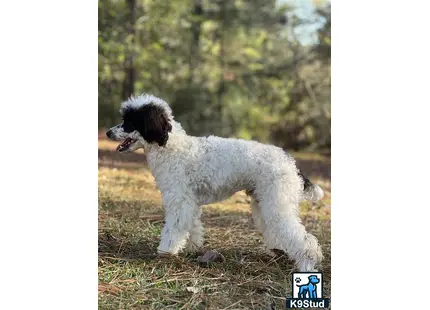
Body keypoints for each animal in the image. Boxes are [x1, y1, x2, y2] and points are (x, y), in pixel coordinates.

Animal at [106, 93, 324, 270]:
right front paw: (191, 247)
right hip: (264, 203)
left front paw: (166, 251)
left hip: (277, 204)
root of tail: (290, 162)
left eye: (129, 121)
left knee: (304, 239)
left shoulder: (179, 200)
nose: (108, 132)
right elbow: (191, 227)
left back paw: (306, 264)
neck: (170, 147)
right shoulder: (189, 202)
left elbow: (174, 228)